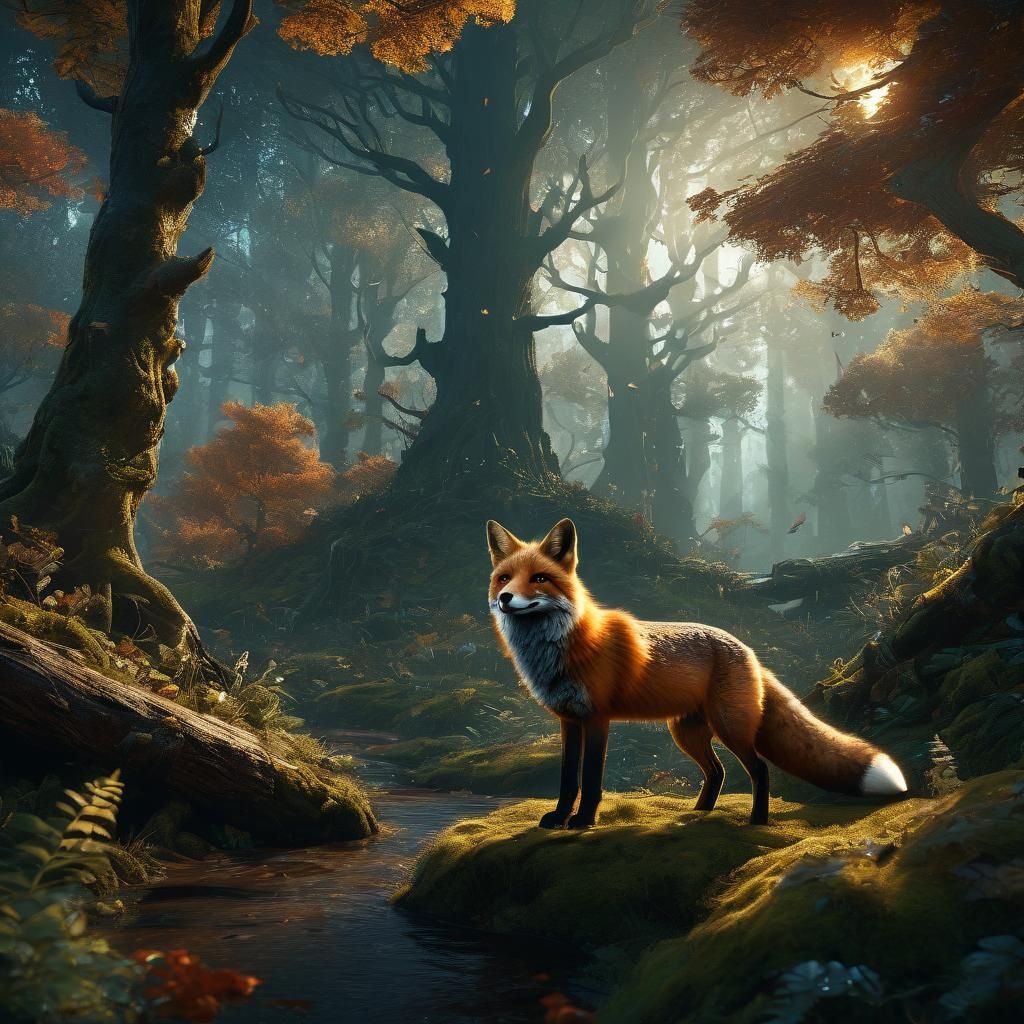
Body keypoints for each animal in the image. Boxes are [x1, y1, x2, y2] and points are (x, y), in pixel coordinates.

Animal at [486, 517, 908, 828]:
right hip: (687, 732)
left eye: (539, 578)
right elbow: (566, 780)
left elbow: (589, 781)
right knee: (717, 771)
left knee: (759, 769)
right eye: (504, 578)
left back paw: (757, 820)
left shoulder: (597, 719)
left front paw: (583, 821)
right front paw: (559, 817)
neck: (563, 647)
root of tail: (748, 650)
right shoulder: (569, 721)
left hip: (729, 726)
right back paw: (700, 812)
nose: (505, 599)